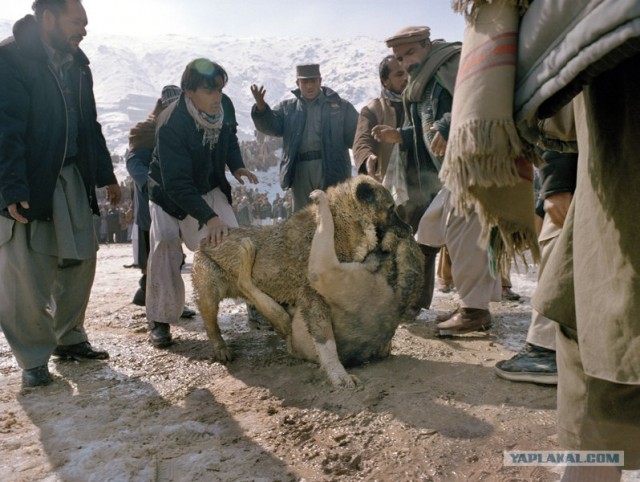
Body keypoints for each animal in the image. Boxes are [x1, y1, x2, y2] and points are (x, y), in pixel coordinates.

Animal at [190, 176, 424, 388]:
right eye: (391, 208)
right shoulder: (315, 298)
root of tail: (203, 242)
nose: (411, 229)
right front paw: (338, 374)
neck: (345, 222)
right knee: (211, 324)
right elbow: (327, 342)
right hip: (209, 292)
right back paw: (221, 348)